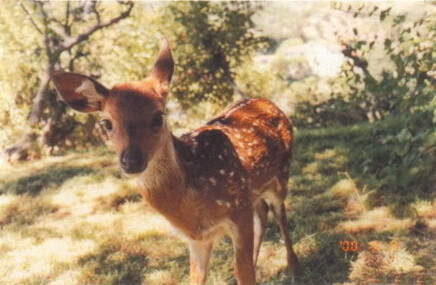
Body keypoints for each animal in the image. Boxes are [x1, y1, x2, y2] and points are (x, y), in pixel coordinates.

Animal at [52, 38, 300, 282]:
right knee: (263, 212)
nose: (131, 161)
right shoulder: (198, 237)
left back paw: (293, 268)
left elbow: (244, 272)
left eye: (158, 116)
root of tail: (267, 101)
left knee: (279, 214)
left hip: (282, 175)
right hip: (255, 192)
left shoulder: (238, 212)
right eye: (106, 123)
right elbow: (197, 277)